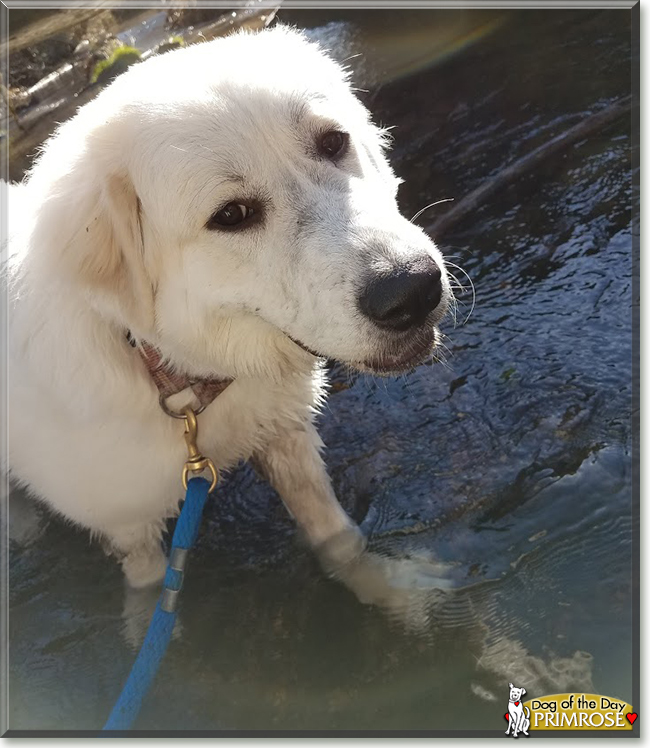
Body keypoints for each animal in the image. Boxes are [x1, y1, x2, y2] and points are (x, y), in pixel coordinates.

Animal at [5, 27, 450, 596]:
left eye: (333, 142)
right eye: (232, 215)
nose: (412, 290)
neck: (178, 378)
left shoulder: (284, 435)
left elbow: (336, 538)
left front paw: (393, 590)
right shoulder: (130, 527)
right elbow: (150, 592)